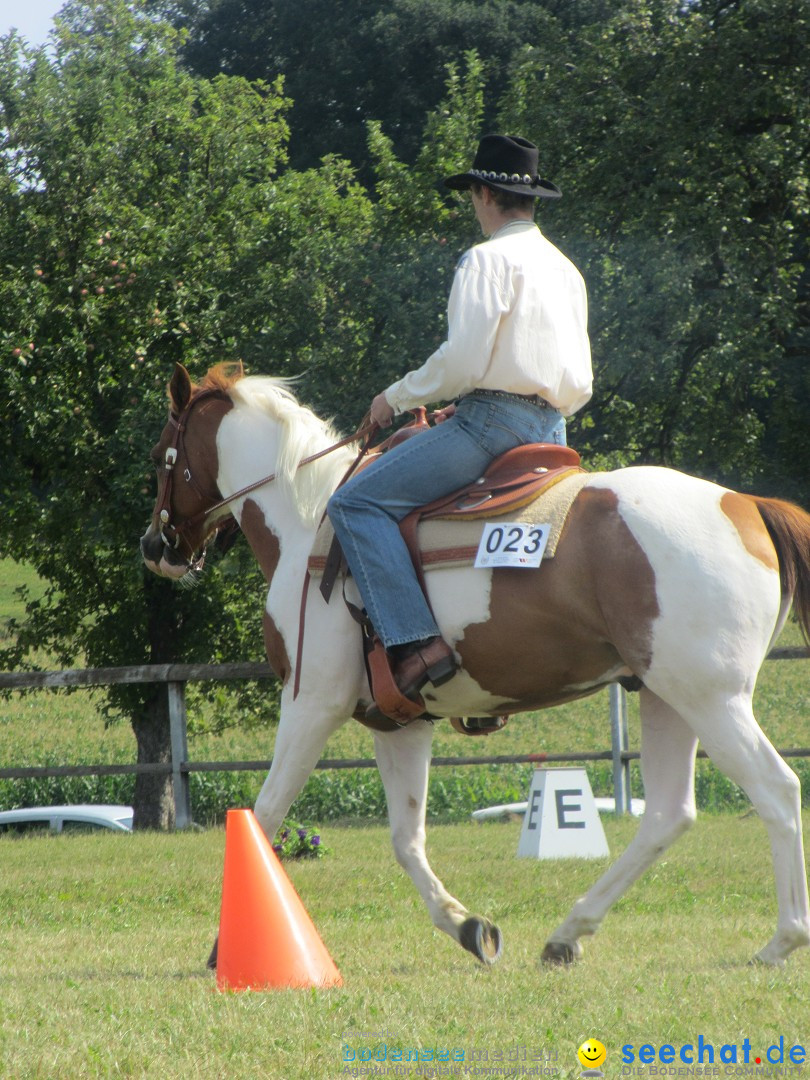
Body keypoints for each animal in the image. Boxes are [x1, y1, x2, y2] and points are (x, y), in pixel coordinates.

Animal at [141, 365, 810, 972]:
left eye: (159, 457)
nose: (155, 547)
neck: (308, 526)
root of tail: (744, 504)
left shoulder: (310, 704)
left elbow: (265, 816)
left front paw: (225, 948)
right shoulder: (399, 722)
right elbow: (406, 840)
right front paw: (468, 928)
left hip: (711, 698)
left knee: (776, 790)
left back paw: (780, 942)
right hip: (665, 696)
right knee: (669, 815)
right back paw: (567, 934)